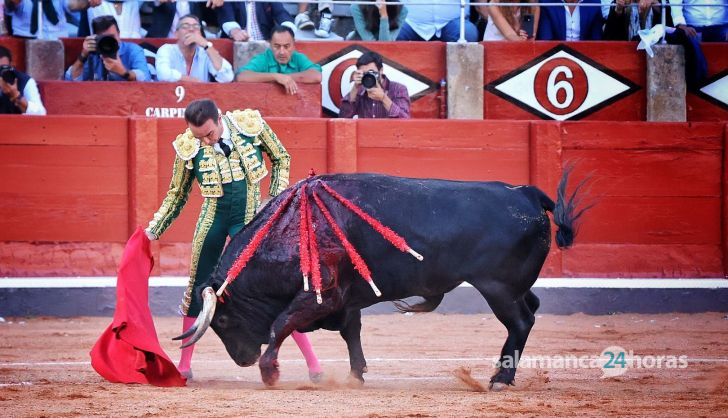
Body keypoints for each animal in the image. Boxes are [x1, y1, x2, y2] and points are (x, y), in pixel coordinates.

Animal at [179, 171, 588, 390]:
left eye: (224, 319)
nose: (243, 359)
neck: (291, 230)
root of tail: (527, 194)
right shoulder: (345, 299)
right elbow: (351, 332)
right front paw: (356, 375)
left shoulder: (321, 296)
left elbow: (281, 323)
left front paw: (270, 372)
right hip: (514, 287)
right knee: (532, 308)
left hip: (498, 288)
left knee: (520, 321)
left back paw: (500, 378)